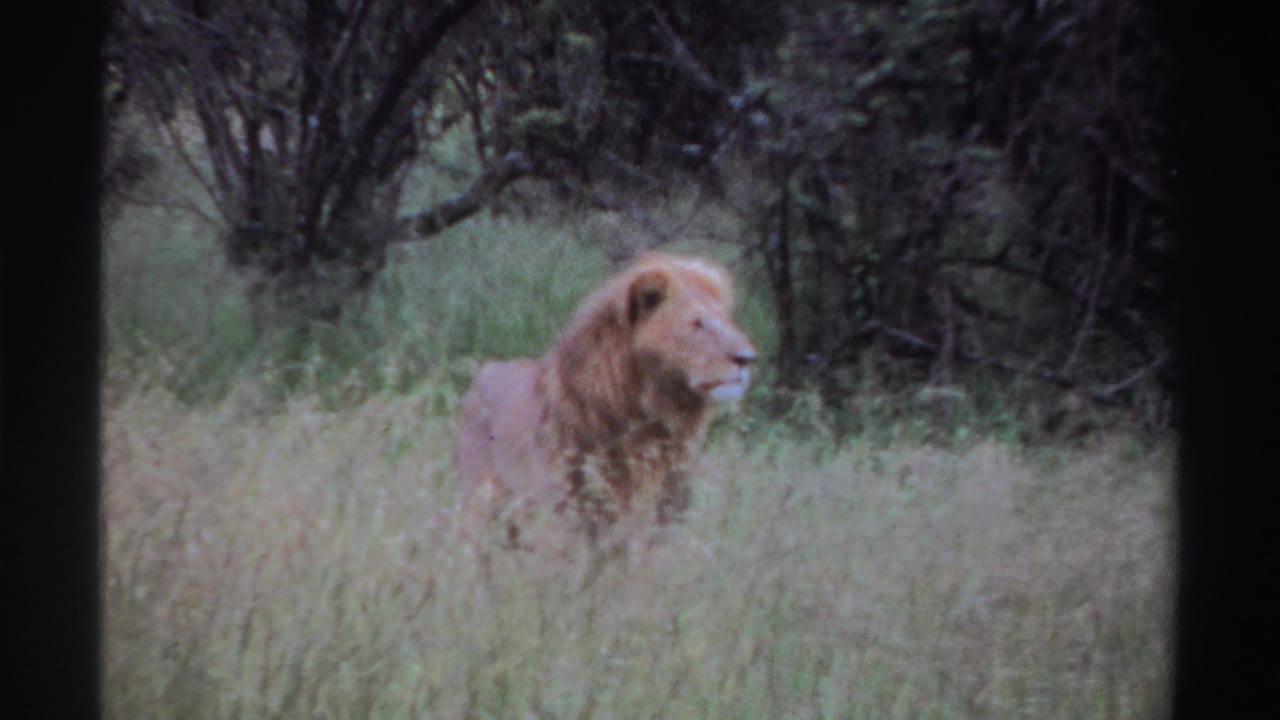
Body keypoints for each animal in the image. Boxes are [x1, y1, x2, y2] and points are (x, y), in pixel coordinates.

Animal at [454, 252, 756, 547]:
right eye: (697, 324)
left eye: (726, 320)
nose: (747, 358)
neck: (651, 417)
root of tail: (481, 375)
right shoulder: (559, 516)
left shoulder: (660, 515)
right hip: (480, 505)